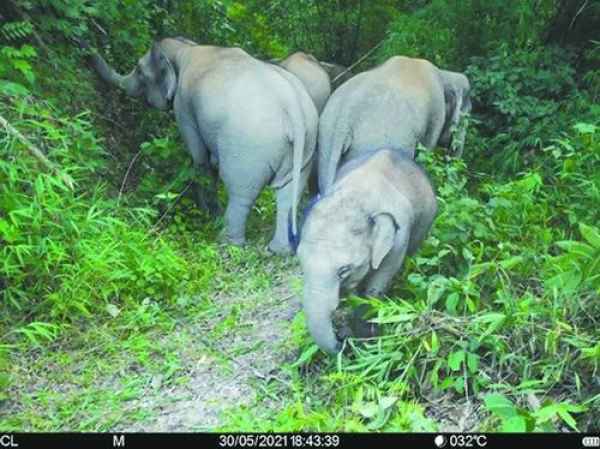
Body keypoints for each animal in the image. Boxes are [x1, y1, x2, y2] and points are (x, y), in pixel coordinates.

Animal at [85, 36, 322, 254]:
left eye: (139, 70)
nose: (86, 48)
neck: (185, 47)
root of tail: (294, 110)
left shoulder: (183, 105)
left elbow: (199, 158)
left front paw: (207, 213)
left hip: (250, 150)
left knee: (241, 191)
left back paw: (227, 242)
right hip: (305, 147)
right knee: (287, 193)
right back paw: (278, 250)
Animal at [290, 149, 436, 352]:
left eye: (343, 270)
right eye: (302, 266)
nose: (340, 342)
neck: (357, 200)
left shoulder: (399, 239)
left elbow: (376, 286)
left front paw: (366, 337)